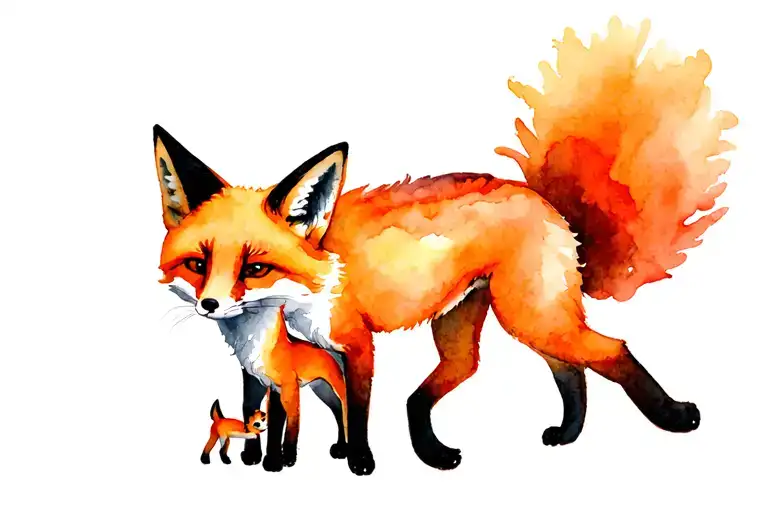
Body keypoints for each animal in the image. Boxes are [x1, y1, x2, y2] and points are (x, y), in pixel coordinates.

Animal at [154, 18, 737, 476]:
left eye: (255, 267)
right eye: (197, 264)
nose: (211, 304)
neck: (309, 285)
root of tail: (546, 200)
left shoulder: (358, 344)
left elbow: (357, 410)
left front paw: (359, 461)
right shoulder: (306, 353)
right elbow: (305, 403)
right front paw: (290, 455)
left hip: (531, 316)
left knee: (609, 350)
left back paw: (672, 417)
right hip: (493, 324)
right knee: (531, 373)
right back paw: (511, 442)